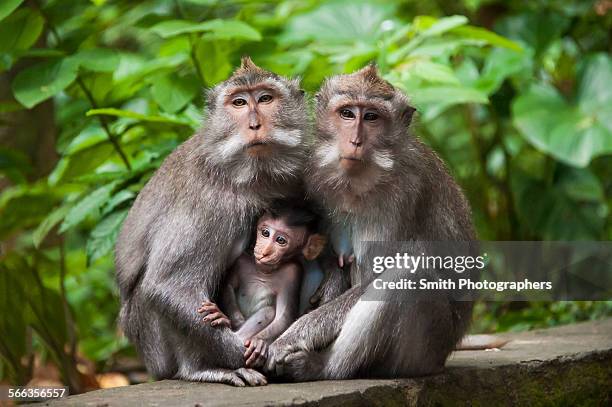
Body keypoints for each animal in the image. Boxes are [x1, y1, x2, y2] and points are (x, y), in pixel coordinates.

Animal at [114, 56, 308, 386]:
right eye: (239, 103)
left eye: (265, 98)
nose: (254, 124)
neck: (254, 176)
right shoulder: (209, 205)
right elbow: (167, 286)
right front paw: (243, 356)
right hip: (154, 349)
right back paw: (202, 369)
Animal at [198, 204, 328, 370]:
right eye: (265, 233)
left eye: (281, 240)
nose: (265, 251)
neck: (264, 271)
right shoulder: (242, 260)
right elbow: (227, 286)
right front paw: (229, 319)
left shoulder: (293, 272)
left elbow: (284, 315)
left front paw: (260, 343)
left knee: (268, 311)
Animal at [266, 64, 476, 382]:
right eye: (347, 113)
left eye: (372, 117)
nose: (355, 141)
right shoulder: (313, 177)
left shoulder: (405, 193)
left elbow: (375, 277)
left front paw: (292, 336)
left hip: (426, 349)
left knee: (407, 275)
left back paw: (324, 367)